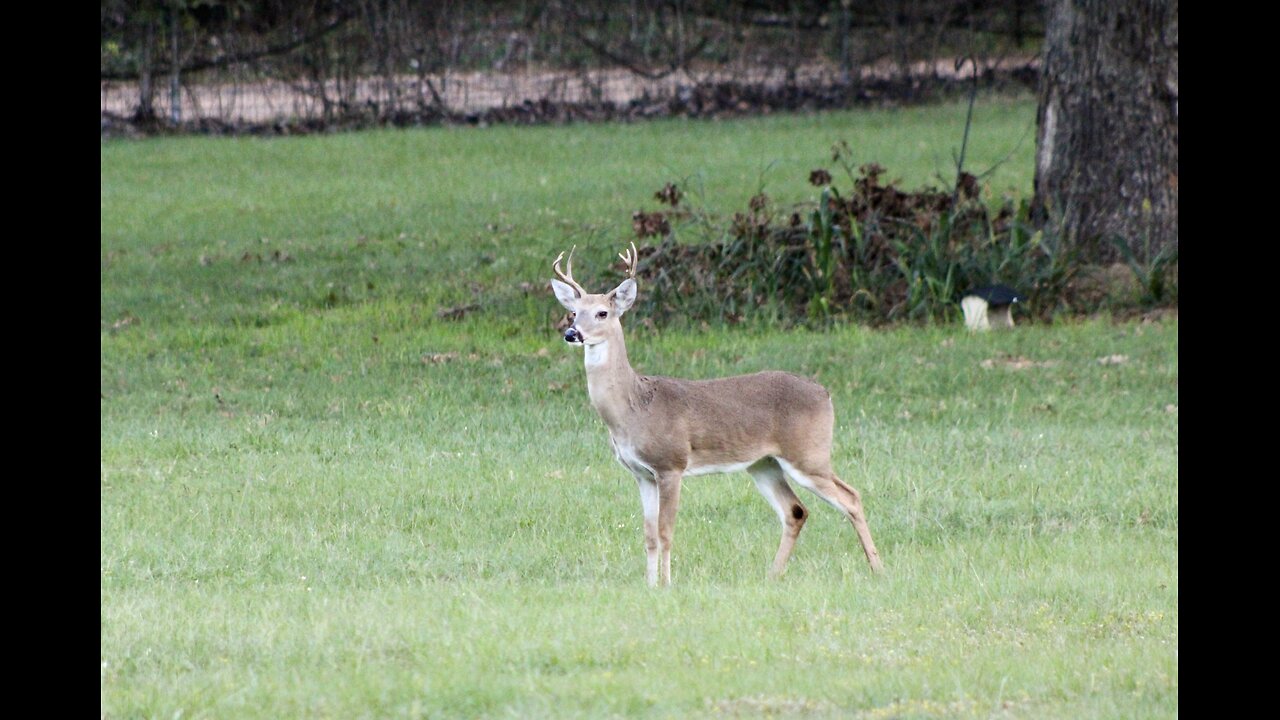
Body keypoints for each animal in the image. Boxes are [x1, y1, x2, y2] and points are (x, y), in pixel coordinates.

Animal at [545, 240, 885, 584]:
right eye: (573, 312)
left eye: (602, 312)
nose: (572, 333)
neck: (633, 407)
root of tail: (825, 394)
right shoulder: (641, 474)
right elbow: (649, 534)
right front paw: (649, 584)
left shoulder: (671, 464)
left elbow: (666, 532)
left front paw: (667, 584)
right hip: (763, 463)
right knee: (795, 510)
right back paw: (772, 575)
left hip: (808, 453)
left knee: (851, 497)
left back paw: (878, 569)